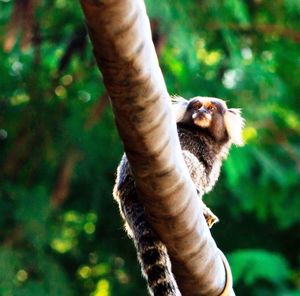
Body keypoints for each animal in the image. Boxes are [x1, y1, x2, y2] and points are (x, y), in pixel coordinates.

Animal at [112, 96, 244, 294]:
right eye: (197, 106)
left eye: (211, 108)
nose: (201, 112)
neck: (204, 136)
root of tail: (126, 191)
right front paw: (204, 209)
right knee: (189, 159)